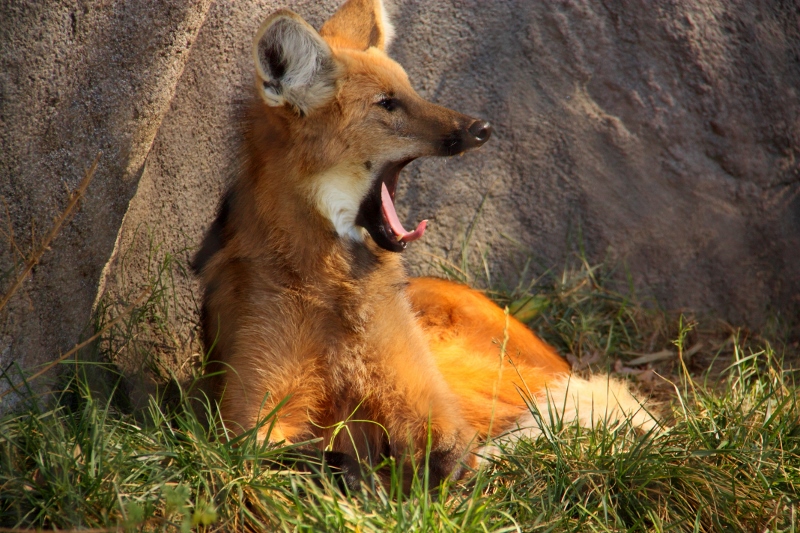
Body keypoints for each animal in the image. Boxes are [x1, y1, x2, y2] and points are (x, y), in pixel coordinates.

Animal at [193, 0, 656, 486]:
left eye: (412, 92)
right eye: (387, 104)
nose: (480, 127)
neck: (333, 284)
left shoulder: (432, 408)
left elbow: (448, 456)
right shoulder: (248, 422)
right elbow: (280, 454)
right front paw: (366, 475)